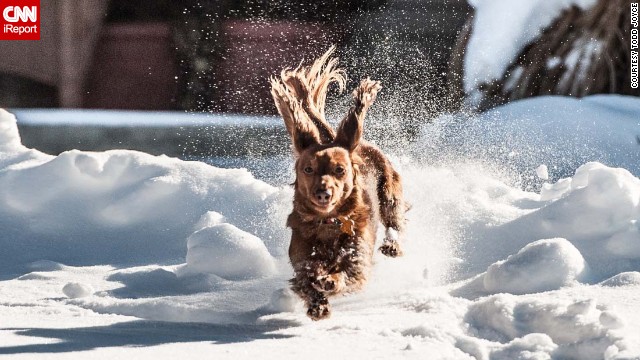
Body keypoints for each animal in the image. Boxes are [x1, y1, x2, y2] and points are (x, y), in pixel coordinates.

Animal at [272, 46, 410, 320]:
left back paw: (392, 245)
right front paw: (318, 304)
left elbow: (346, 273)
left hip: (389, 193)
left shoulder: (358, 260)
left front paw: (330, 280)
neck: (329, 223)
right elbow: (307, 278)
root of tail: (338, 138)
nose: (323, 193)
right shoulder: (302, 260)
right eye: (308, 169)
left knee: (394, 224)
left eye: (340, 170)